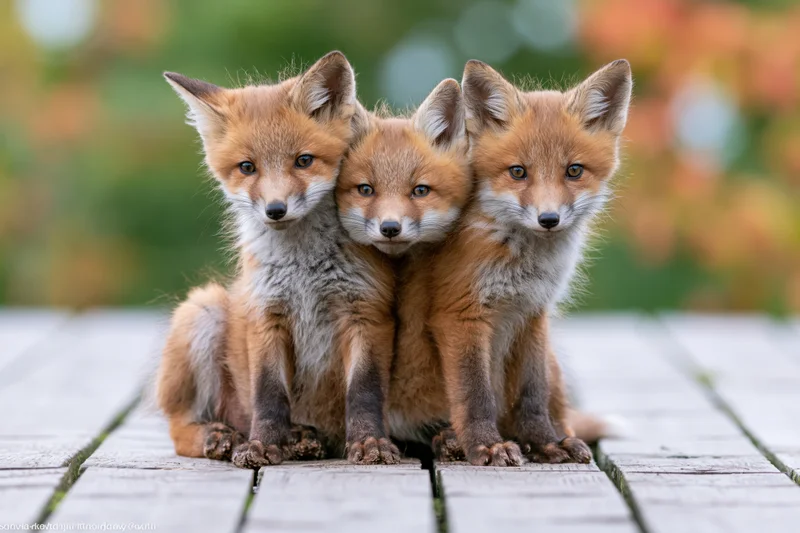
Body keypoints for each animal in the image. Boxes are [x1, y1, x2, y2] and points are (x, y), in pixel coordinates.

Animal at [156, 51, 401, 467]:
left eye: (303, 161)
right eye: (247, 167)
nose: (275, 210)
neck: (305, 269)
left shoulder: (366, 313)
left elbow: (364, 392)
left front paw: (370, 442)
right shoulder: (266, 315)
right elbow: (269, 396)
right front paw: (261, 445)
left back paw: (303, 438)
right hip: (202, 309)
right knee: (179, 430)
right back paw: (221, 436)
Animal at [422, 59, 633, 466]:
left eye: (574, 170)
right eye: (518, 172)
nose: (549, 219)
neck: (525, 267)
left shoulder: (533, 314)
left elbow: (532, 394)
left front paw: (545, 443)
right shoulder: (460, 314)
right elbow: (475, 393)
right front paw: (486, 445)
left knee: (560, 408)